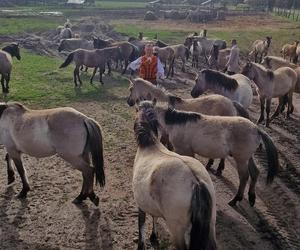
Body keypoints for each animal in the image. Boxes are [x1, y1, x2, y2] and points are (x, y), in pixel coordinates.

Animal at [133, 100, 216, 250]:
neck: (150, 145)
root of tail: (196, 182)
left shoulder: (140, 205)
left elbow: (141, 226)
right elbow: (154, 217)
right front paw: (154, 236)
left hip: (177, 230)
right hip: (211, 226)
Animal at [147, 99, 278, 207]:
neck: (177, 123)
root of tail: (257, 129)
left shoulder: (183, 150)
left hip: (241, 159)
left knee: (244, 177)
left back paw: (235, 199)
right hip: (247, 158)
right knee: (255, 173)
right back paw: (251, 198)